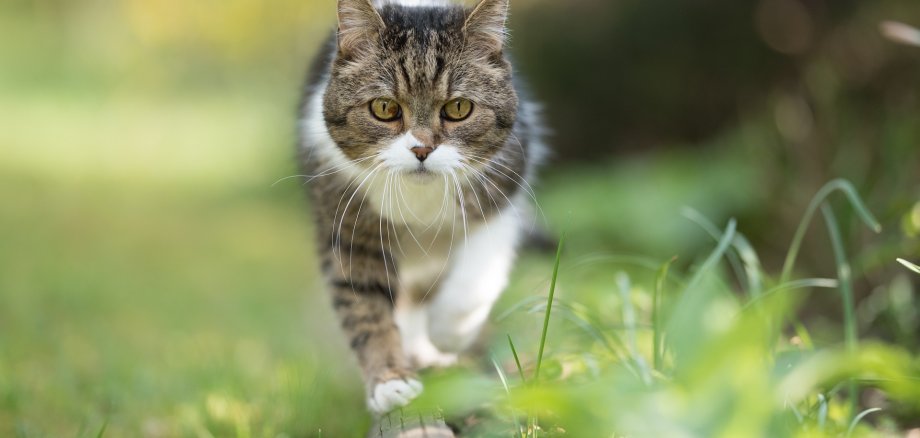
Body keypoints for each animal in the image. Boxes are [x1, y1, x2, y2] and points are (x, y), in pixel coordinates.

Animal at [300, 0, 548, 414]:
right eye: (384, 107)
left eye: (459, 108)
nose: (421, 149)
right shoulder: (348, 228)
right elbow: (365, 308)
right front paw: (390, 381)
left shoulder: (503, 198)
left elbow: (474, 279)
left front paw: (449, 335)